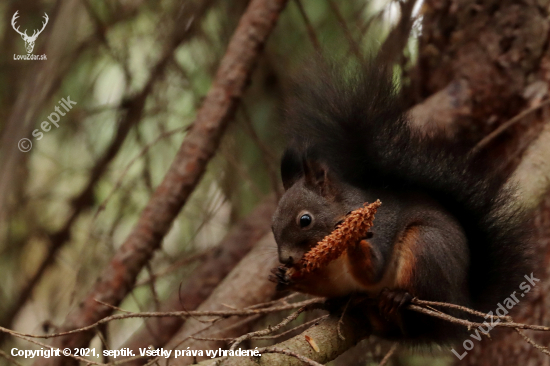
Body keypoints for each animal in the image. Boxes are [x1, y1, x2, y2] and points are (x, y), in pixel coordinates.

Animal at [270, 63, 536, 344]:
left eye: (305, 220)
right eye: (272, 225)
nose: (286, 259)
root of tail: (462, 301)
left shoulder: (381, 231)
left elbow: (373, 271)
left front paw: (353, 236)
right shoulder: (330, 276)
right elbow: (325, 284)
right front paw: (282, 277)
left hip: (427, 248)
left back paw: (400, 297)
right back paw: (348, 304)